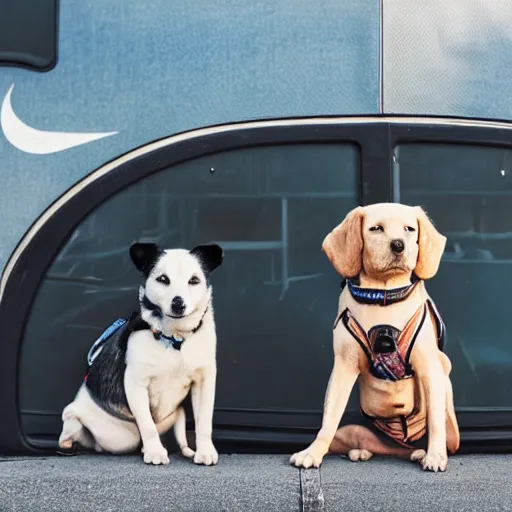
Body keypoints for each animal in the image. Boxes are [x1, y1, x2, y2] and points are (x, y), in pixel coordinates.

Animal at [57, 242, 223, 466]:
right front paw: (155, 452)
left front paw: (205, 451)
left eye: (194, 280)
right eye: (163, 279)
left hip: (178, 415)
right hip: (77, 418)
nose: (178, 303)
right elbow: (147, 425)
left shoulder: (204, 382)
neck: (175, 340)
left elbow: (203, 422)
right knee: (70, 430)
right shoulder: (136, 383)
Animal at [290, 203, 462, 472]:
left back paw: (422, 452)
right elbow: (329, 419)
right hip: (352, 430)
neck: (383, 295)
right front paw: (312, 453)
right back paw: (362, 451)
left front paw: (435, 456)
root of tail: (397, 445)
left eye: (409, 229)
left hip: (447, 393)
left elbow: (434, 418)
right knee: (364, 442)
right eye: (376, 229)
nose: (398, 245)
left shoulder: (429, 366)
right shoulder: (343, 365)